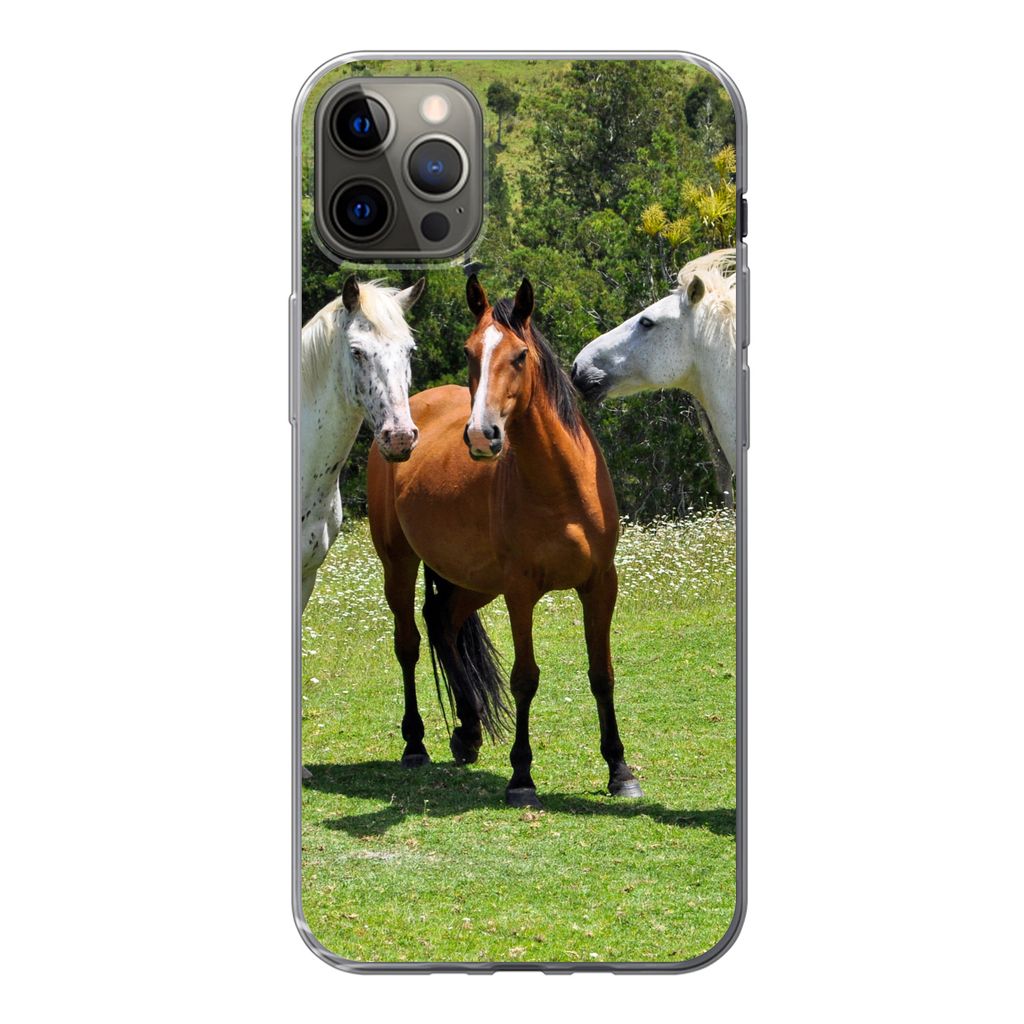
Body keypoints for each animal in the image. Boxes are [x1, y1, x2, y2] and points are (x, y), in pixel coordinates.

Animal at [367, 276, 643, 809]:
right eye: (470, 351)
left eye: (519, 355)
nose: (481, 435)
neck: (560, 486)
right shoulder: (520, 592)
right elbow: (525, 678)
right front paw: (522, 777)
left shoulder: (601, 584)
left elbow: (603, 674)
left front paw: (620, 770)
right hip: (399, 563)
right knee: (409, 644)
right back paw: (415, 744)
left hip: (475, 581)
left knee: (443, 620)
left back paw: (468, 731)